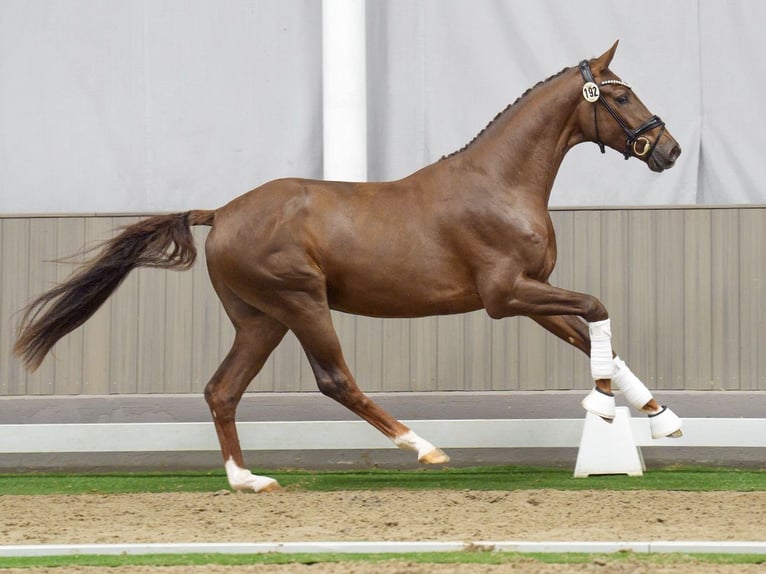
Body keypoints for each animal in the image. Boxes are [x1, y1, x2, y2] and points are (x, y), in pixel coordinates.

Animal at [13, 40, 684, 492]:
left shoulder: (533, 291)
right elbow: (597, 309)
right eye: (620, 95)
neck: (499, 183)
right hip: (301, 303)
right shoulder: (506, 295)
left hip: (260, 319)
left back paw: (247, 481)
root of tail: (222, 212)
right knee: (334, 380)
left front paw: (660, 417)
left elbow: (594, 335)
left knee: (222, 389)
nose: (670, 150)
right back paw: (425, 449)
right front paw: (604, 409)